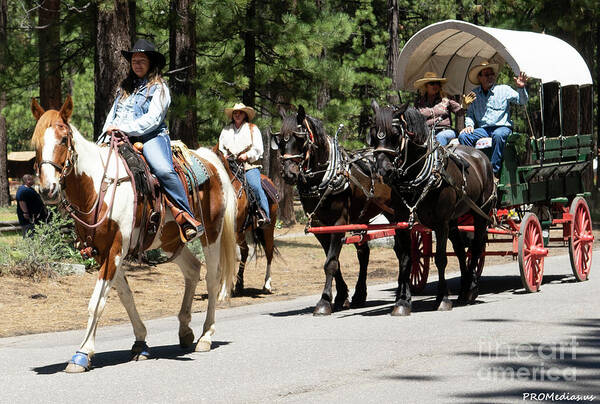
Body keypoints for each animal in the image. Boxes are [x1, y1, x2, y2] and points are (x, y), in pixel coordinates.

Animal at [29, 97, 237, 372]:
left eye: (64, 139)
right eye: (36, 144)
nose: (47, 189)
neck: (99, 187)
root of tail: (210, 158)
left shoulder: (115, 248)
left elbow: (97, 303)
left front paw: (82, 354)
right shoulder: (102, 252)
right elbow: (125, 297)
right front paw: (140, 343)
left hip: (211, 233)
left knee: (212, 279)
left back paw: (205, 336)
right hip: (170, 239)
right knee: (193, 270)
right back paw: (185, 330)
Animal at [214, 147, 280, 296]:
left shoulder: (235, 231)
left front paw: (225, 288)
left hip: (267, 228)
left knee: (268, 252)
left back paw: (267, 285)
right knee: (245, 252)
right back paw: (239, 284)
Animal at [272, 105, 398, 314]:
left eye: (300, 138)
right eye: (280, 140)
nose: (289, 173)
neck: (323, 177)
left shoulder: (339, 222)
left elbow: (330, 263)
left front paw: (324, 302)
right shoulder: (320, 226)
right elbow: (334, 262)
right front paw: (340, 297)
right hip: (361, 218)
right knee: (363, 253)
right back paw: (359, 295)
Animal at [370, 101, 496, 316]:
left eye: (395, 134)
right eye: (372, 134)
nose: (383, 171)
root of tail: (481, 157)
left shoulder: (441, 223)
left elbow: (441, 259)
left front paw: (443, 299)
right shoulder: (402, 222)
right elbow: (406, 259)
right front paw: (402, 302)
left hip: (481, 213)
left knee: (476, 248)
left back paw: (471, 289)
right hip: (454, 220)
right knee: (461, 251)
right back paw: (463, 290)